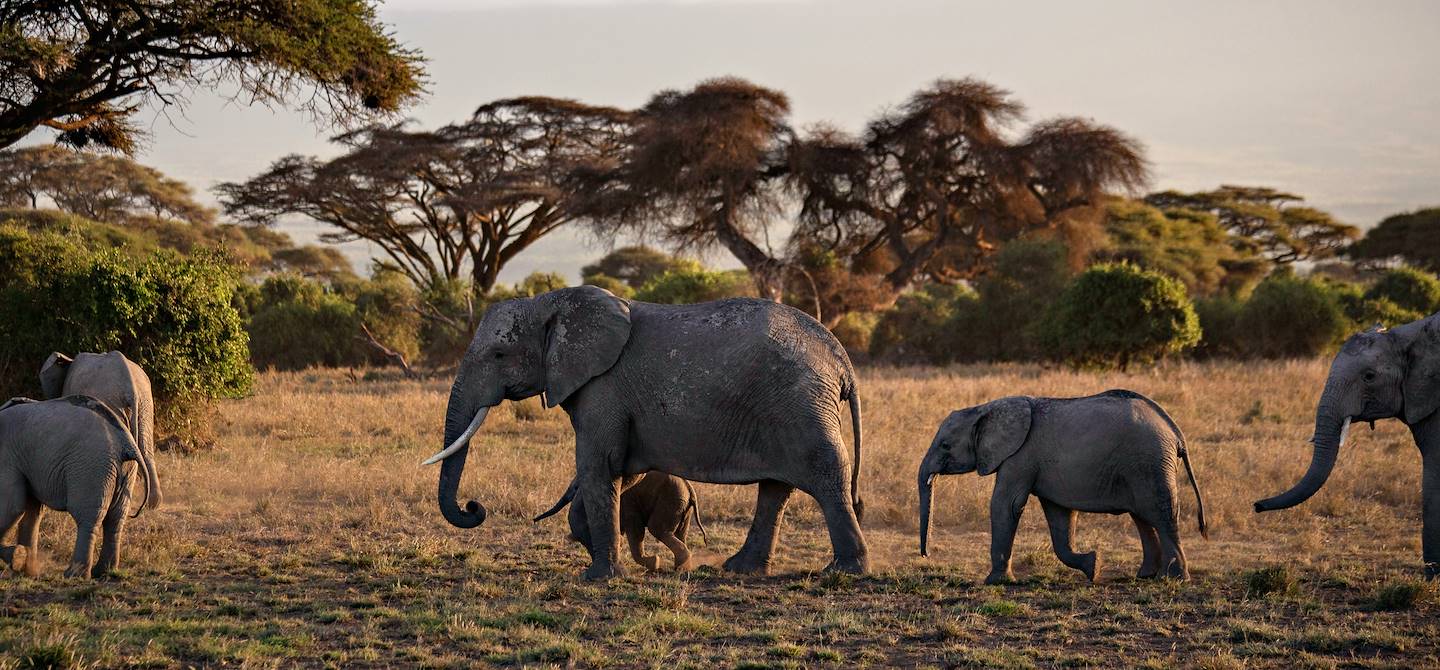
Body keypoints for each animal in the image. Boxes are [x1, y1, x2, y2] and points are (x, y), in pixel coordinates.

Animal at [0, 396, 151, 578]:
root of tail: (125, 440)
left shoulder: (6, 457)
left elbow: (12, 506)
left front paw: (19, 561)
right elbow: (31, 510)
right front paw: (26, 569)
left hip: (91, 465)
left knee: (87, 518)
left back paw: (74, 574)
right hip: (125, 470)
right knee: (115, 518)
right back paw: (104, 572)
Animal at [534, 471, 710, 572]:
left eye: (576, 488)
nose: (534, 520)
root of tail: (690, 489)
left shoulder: (627, 501)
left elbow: (635, 530)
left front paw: (653, 562)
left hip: (669, 500)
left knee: (657, 529)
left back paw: (676, 567)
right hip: (681, 506)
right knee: (680, 534)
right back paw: (682, 567)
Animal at [918, 390, 1208, 583]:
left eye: (945, 445)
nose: (926, 555)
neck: (984, 409)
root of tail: (1175, 432)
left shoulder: (1020, 456)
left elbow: (1006, 505)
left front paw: (995, 582)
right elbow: (1060, 516)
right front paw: (1094, 566)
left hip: (1150, 462)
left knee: (1161, 514)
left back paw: (1174, 579)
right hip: (1143, 466)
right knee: (1142, 517)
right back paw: (1146, 575)